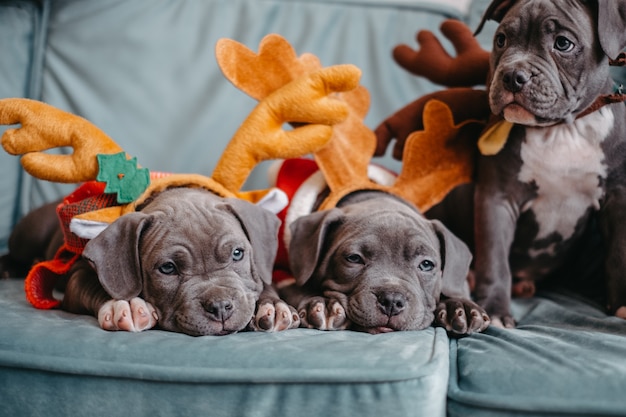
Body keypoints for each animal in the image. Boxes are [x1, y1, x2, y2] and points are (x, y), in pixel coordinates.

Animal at [3, 187, 300, 336]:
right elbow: (98, 286)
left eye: (238, 253)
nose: (220, 307)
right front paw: (124, 305)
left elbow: (263, 283)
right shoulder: (77, 276)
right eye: (168, 268)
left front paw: (271, 306)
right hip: (29, 233)